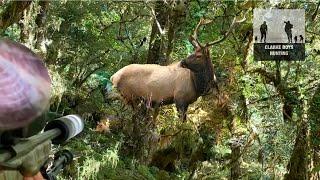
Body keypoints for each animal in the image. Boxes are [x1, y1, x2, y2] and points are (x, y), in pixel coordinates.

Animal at [110, 16, 245, 121]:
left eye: (199, 55)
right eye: (194, 52)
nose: (182, 61)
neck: (198, 86)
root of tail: (113, 77)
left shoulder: (187, 102)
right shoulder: (179, 98)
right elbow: (181, 122)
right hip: (129, 96)